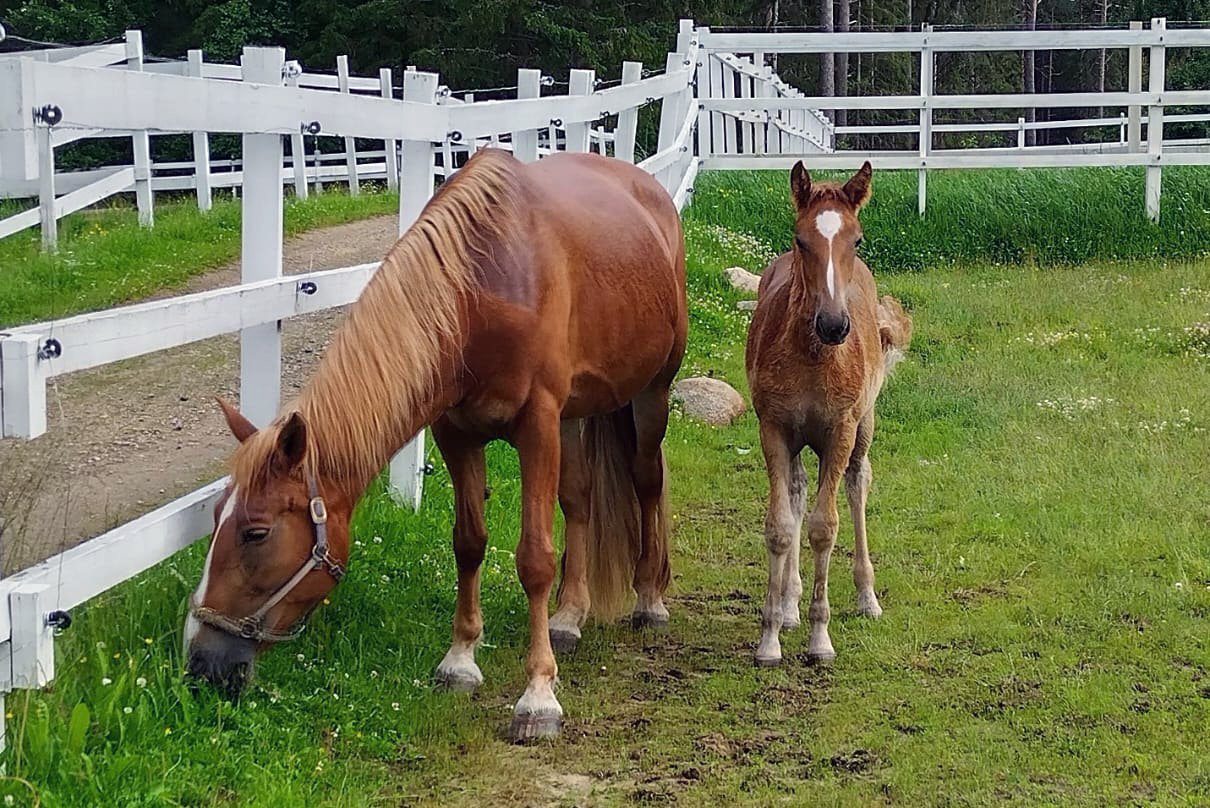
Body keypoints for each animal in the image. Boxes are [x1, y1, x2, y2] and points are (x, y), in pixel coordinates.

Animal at [182, 145, 687, 740]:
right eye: (215, 518)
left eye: (255, 533)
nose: (200, 664)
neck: (482, 292)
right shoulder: (457, 433)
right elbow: (468, 543)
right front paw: (461, 660)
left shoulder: (537, 426)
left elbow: (535, 558)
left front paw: (538, 696)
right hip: (575, 414)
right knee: (579, 499)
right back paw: (568, 617)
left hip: (651, 395)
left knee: (647, 483)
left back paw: (649, 600)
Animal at [740, 160, 909, 667]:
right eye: (801, 240)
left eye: (857, 240)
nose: (834, 325)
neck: (814, 357)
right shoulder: (774, 428)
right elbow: (781, 526)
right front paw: (771, 636)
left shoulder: (840, 430)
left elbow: (824, 527)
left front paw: (820, 639)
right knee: (797, 494)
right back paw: (790, 604)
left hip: (864, 427)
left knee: (856, 484)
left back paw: (867, 598)